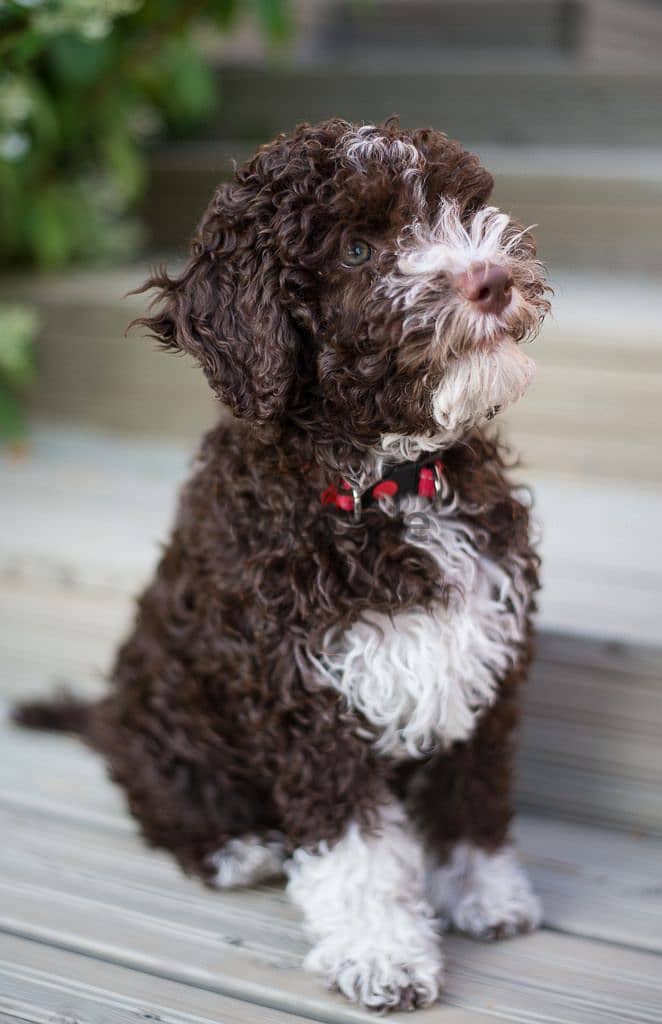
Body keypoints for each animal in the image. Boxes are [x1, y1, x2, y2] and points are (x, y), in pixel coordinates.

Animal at [18, 119, 553, 1015]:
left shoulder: (484, 652)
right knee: (162, 796)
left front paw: (483, 892)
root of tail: (106, 716)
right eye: (356, 251)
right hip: (164, 714)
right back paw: (237, 848)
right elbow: (356, 847)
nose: (491, 278)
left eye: (457, 205)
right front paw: (383, 955)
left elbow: (470, 789)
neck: (390, 484)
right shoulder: (303, 694)